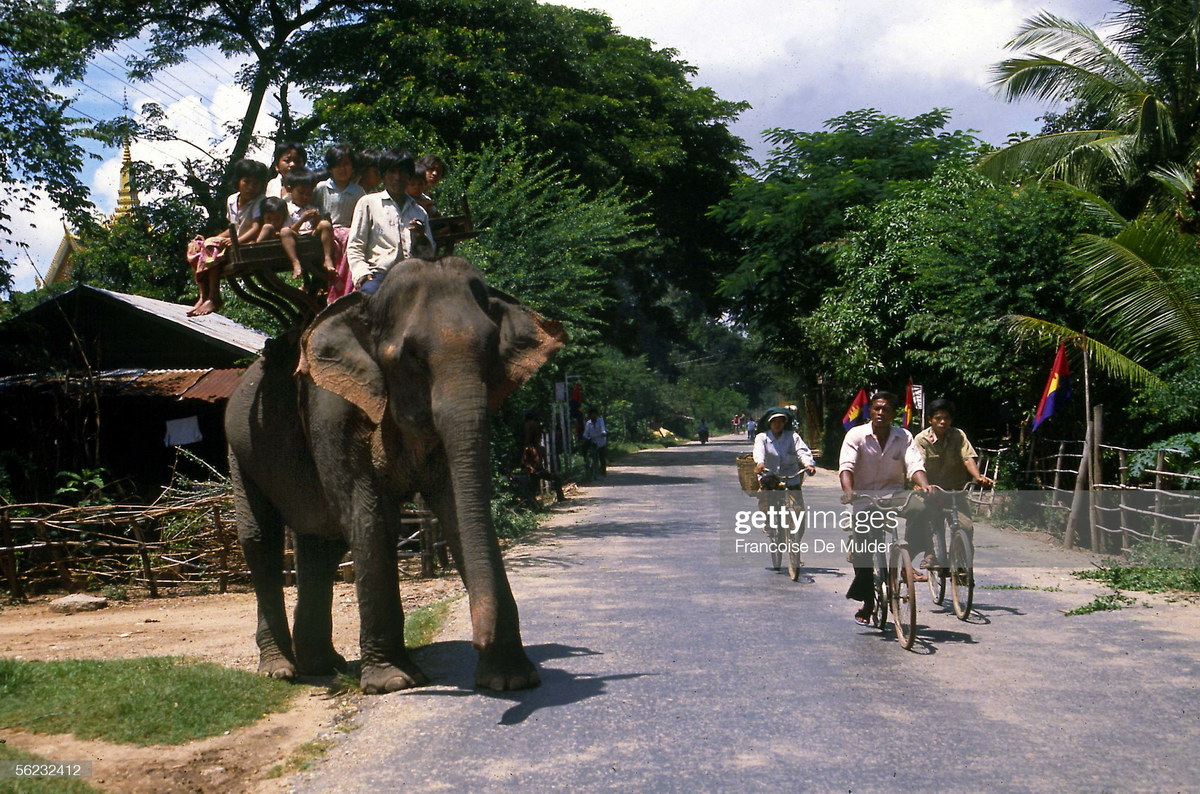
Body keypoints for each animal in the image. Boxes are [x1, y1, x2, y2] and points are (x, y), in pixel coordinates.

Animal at [226, 257, 568, 695]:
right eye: (411, 356)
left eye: (492, 348)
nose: (479, 638)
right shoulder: (330, 408)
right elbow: (368, 515)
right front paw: (393, 682)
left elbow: (455, 508)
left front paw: (511, 680)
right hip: (240, 447)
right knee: (261, 539)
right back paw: (281, 670)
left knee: (321, 542)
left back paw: (323, 665)